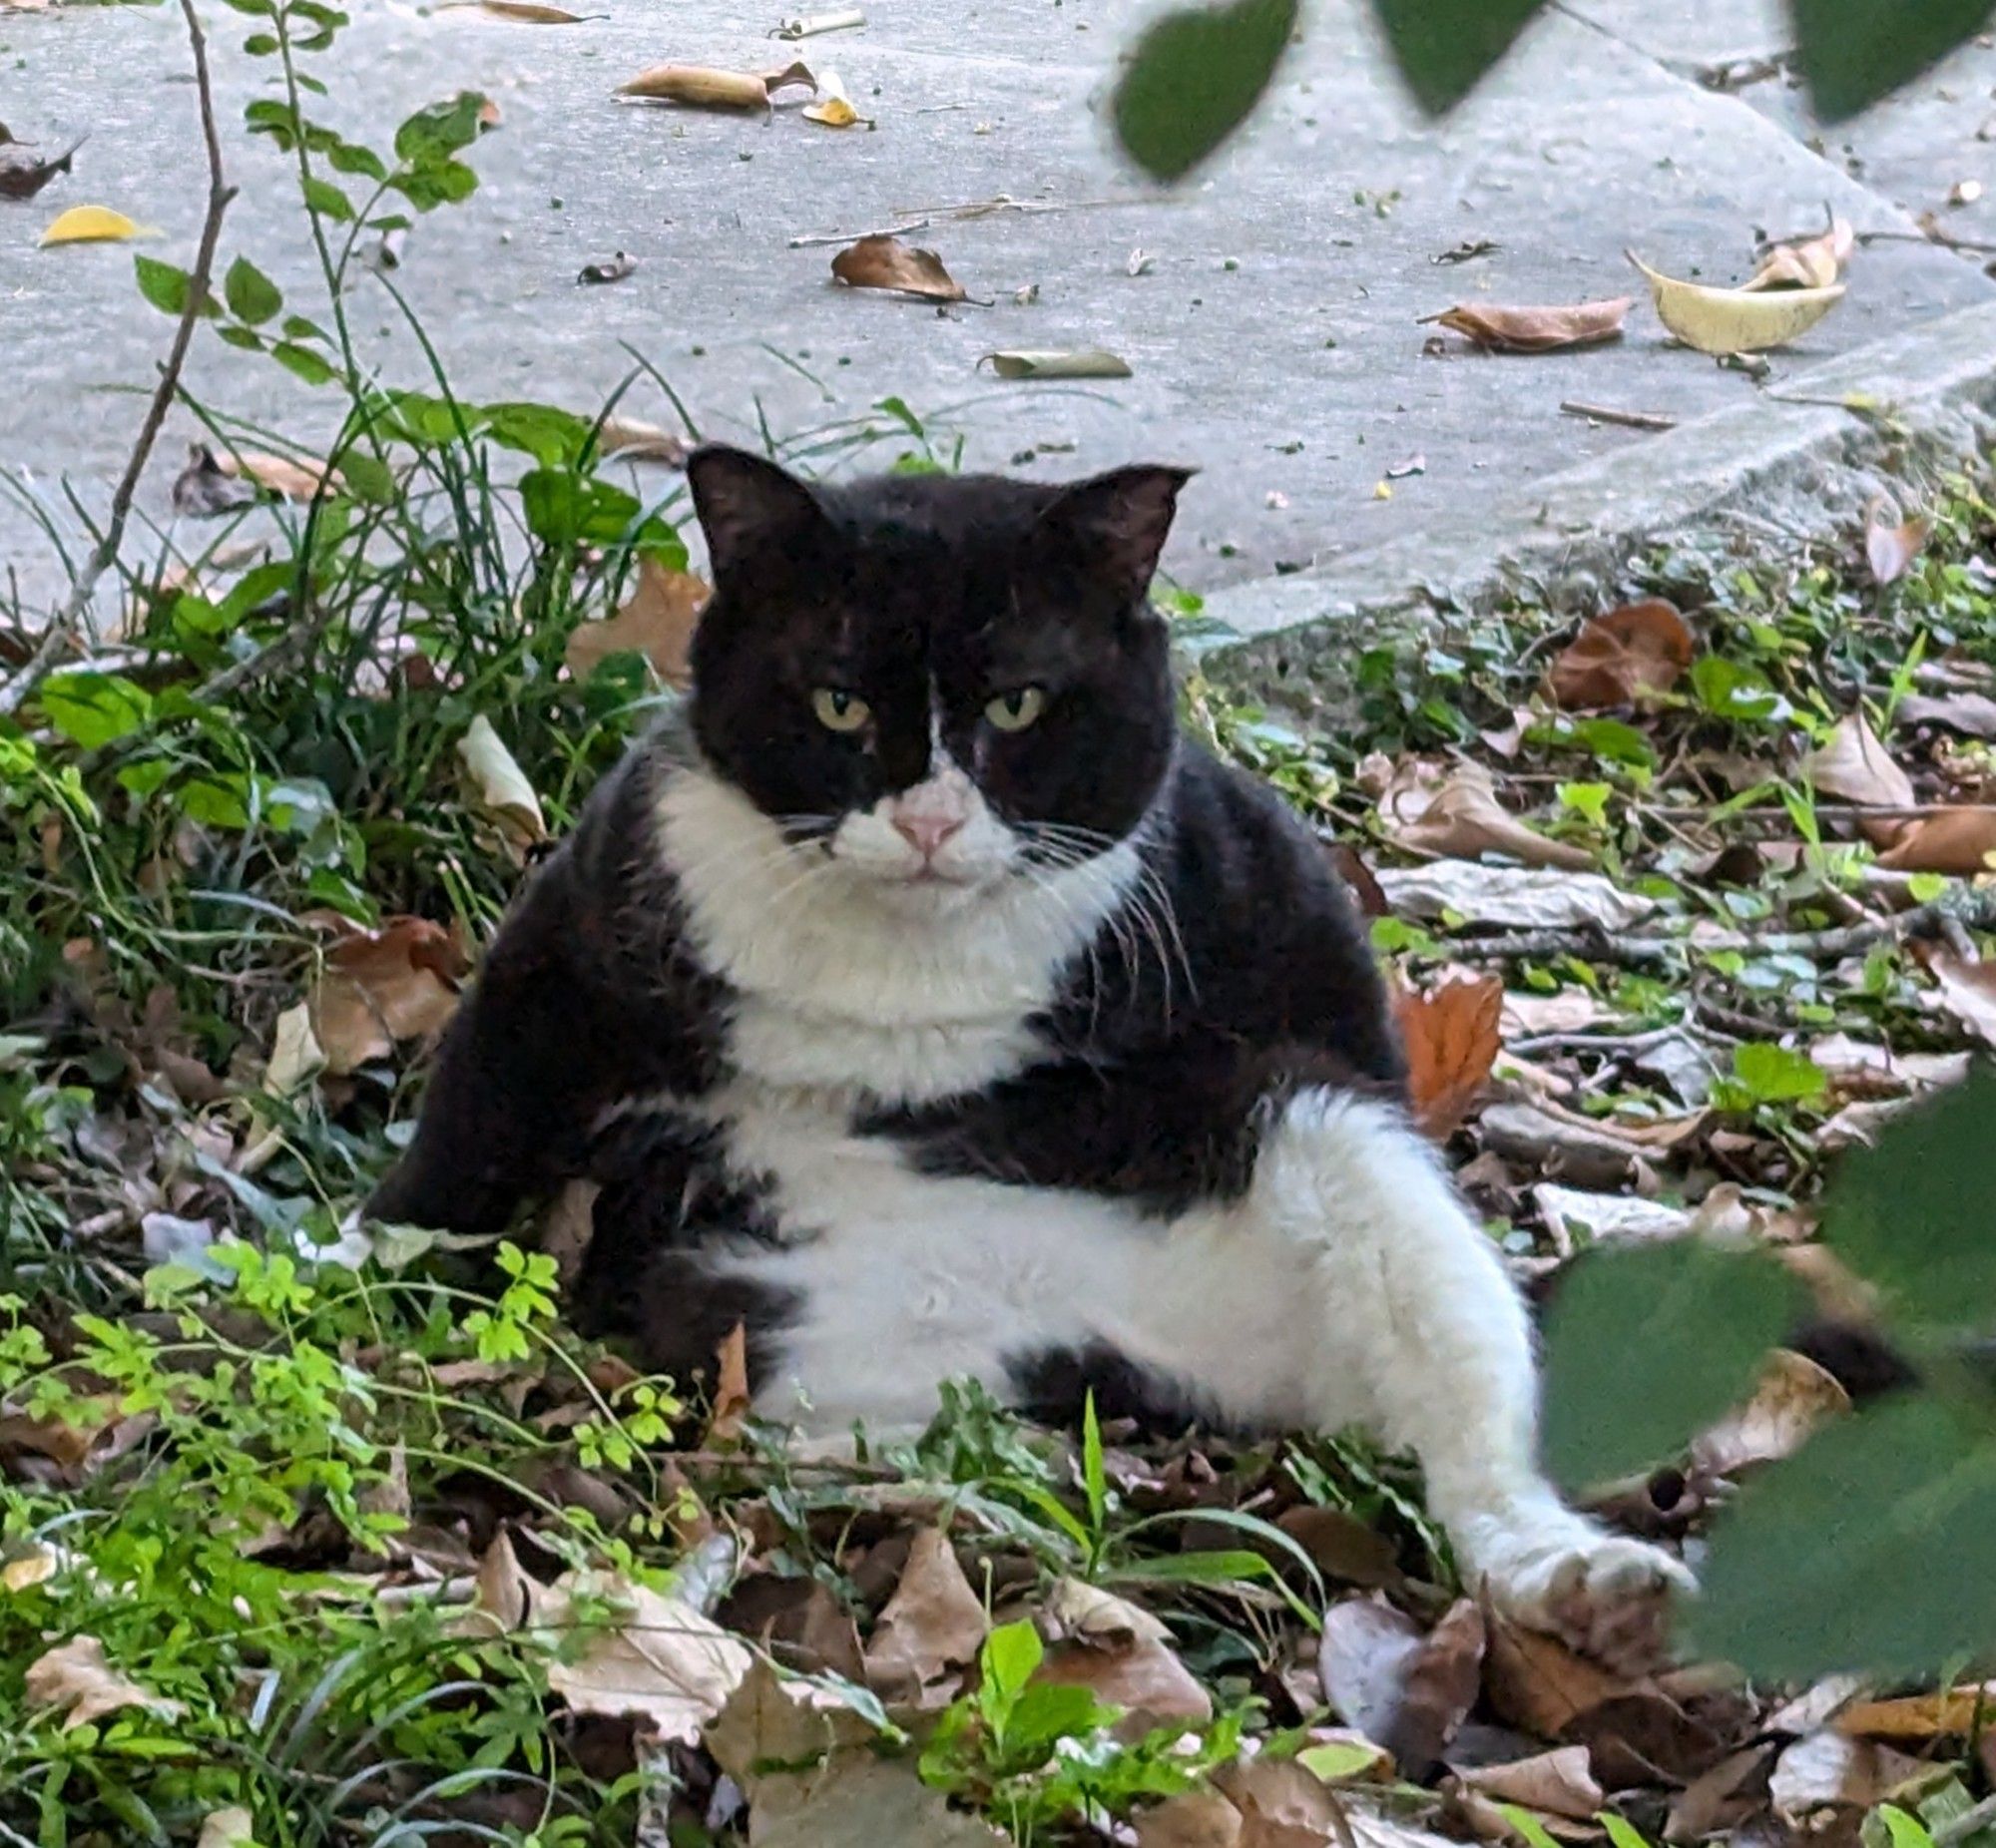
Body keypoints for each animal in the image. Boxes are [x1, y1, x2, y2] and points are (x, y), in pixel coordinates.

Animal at [367, 445, 1693, 1660]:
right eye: (838, 702)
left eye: (1018, 704)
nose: (926, 819)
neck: (904, 971)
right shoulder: (575, 926)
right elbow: (467, 1117)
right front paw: (371, 1274)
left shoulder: (1270, 902)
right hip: (792, 1335)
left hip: (1344, 1154)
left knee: (1467, 1415)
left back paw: (1583, 1583)